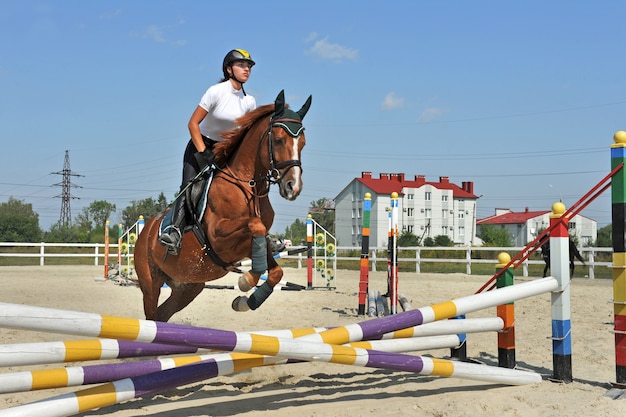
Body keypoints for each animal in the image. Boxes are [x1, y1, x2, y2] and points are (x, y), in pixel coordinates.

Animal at [136, 89, 312, 320]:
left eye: (303, 143)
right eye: (279, 140)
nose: (294, 187)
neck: (248, 187)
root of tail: (145, 231)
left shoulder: (248, 246)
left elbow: (275, 270)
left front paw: (245, 300)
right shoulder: (218, 236)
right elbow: (255, 225)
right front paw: (246, 280)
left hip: (188, 287)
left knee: (162, 315)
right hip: (151, 284)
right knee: (151, 312)